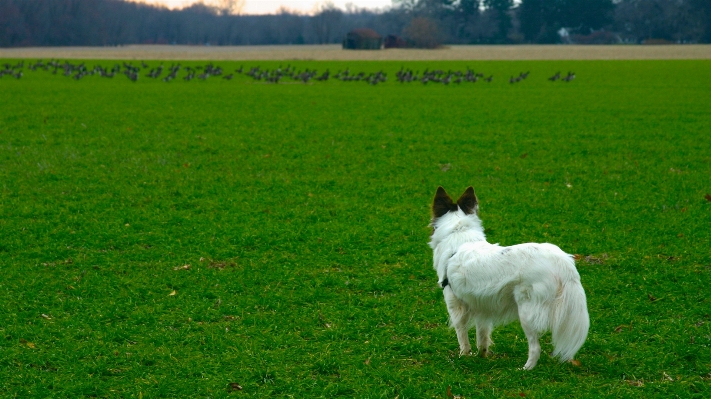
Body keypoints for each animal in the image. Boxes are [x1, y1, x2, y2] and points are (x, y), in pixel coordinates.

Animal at [432, 186, 592, 370]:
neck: (459, 233)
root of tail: (563, 261)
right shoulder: (482, 305)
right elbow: (482, 335)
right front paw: (482, 356)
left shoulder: (455, 304)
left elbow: (462, 335)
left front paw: (464, 356)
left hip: (526, 312)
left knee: (535, 348)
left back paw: (525, 369)